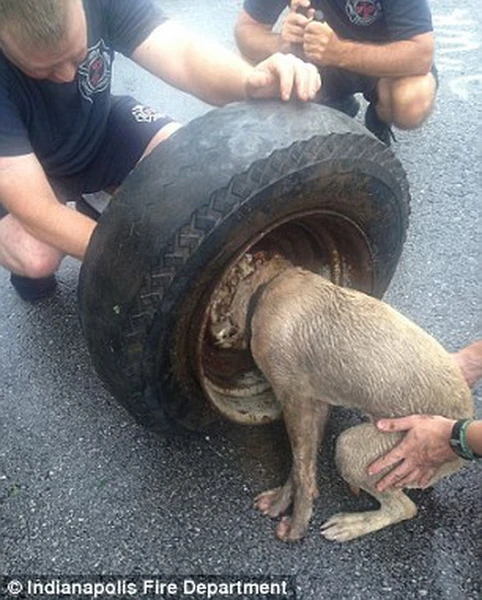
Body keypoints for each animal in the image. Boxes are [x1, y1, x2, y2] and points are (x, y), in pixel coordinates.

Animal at [227, 253, 474, 544]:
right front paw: (285, 500)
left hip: (358, 448)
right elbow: (303, 465)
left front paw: (296, 525)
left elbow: (301, 467)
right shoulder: (316, 403)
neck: (274, 282)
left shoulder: (295, 400)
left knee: (404, 507)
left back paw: (350, 524)